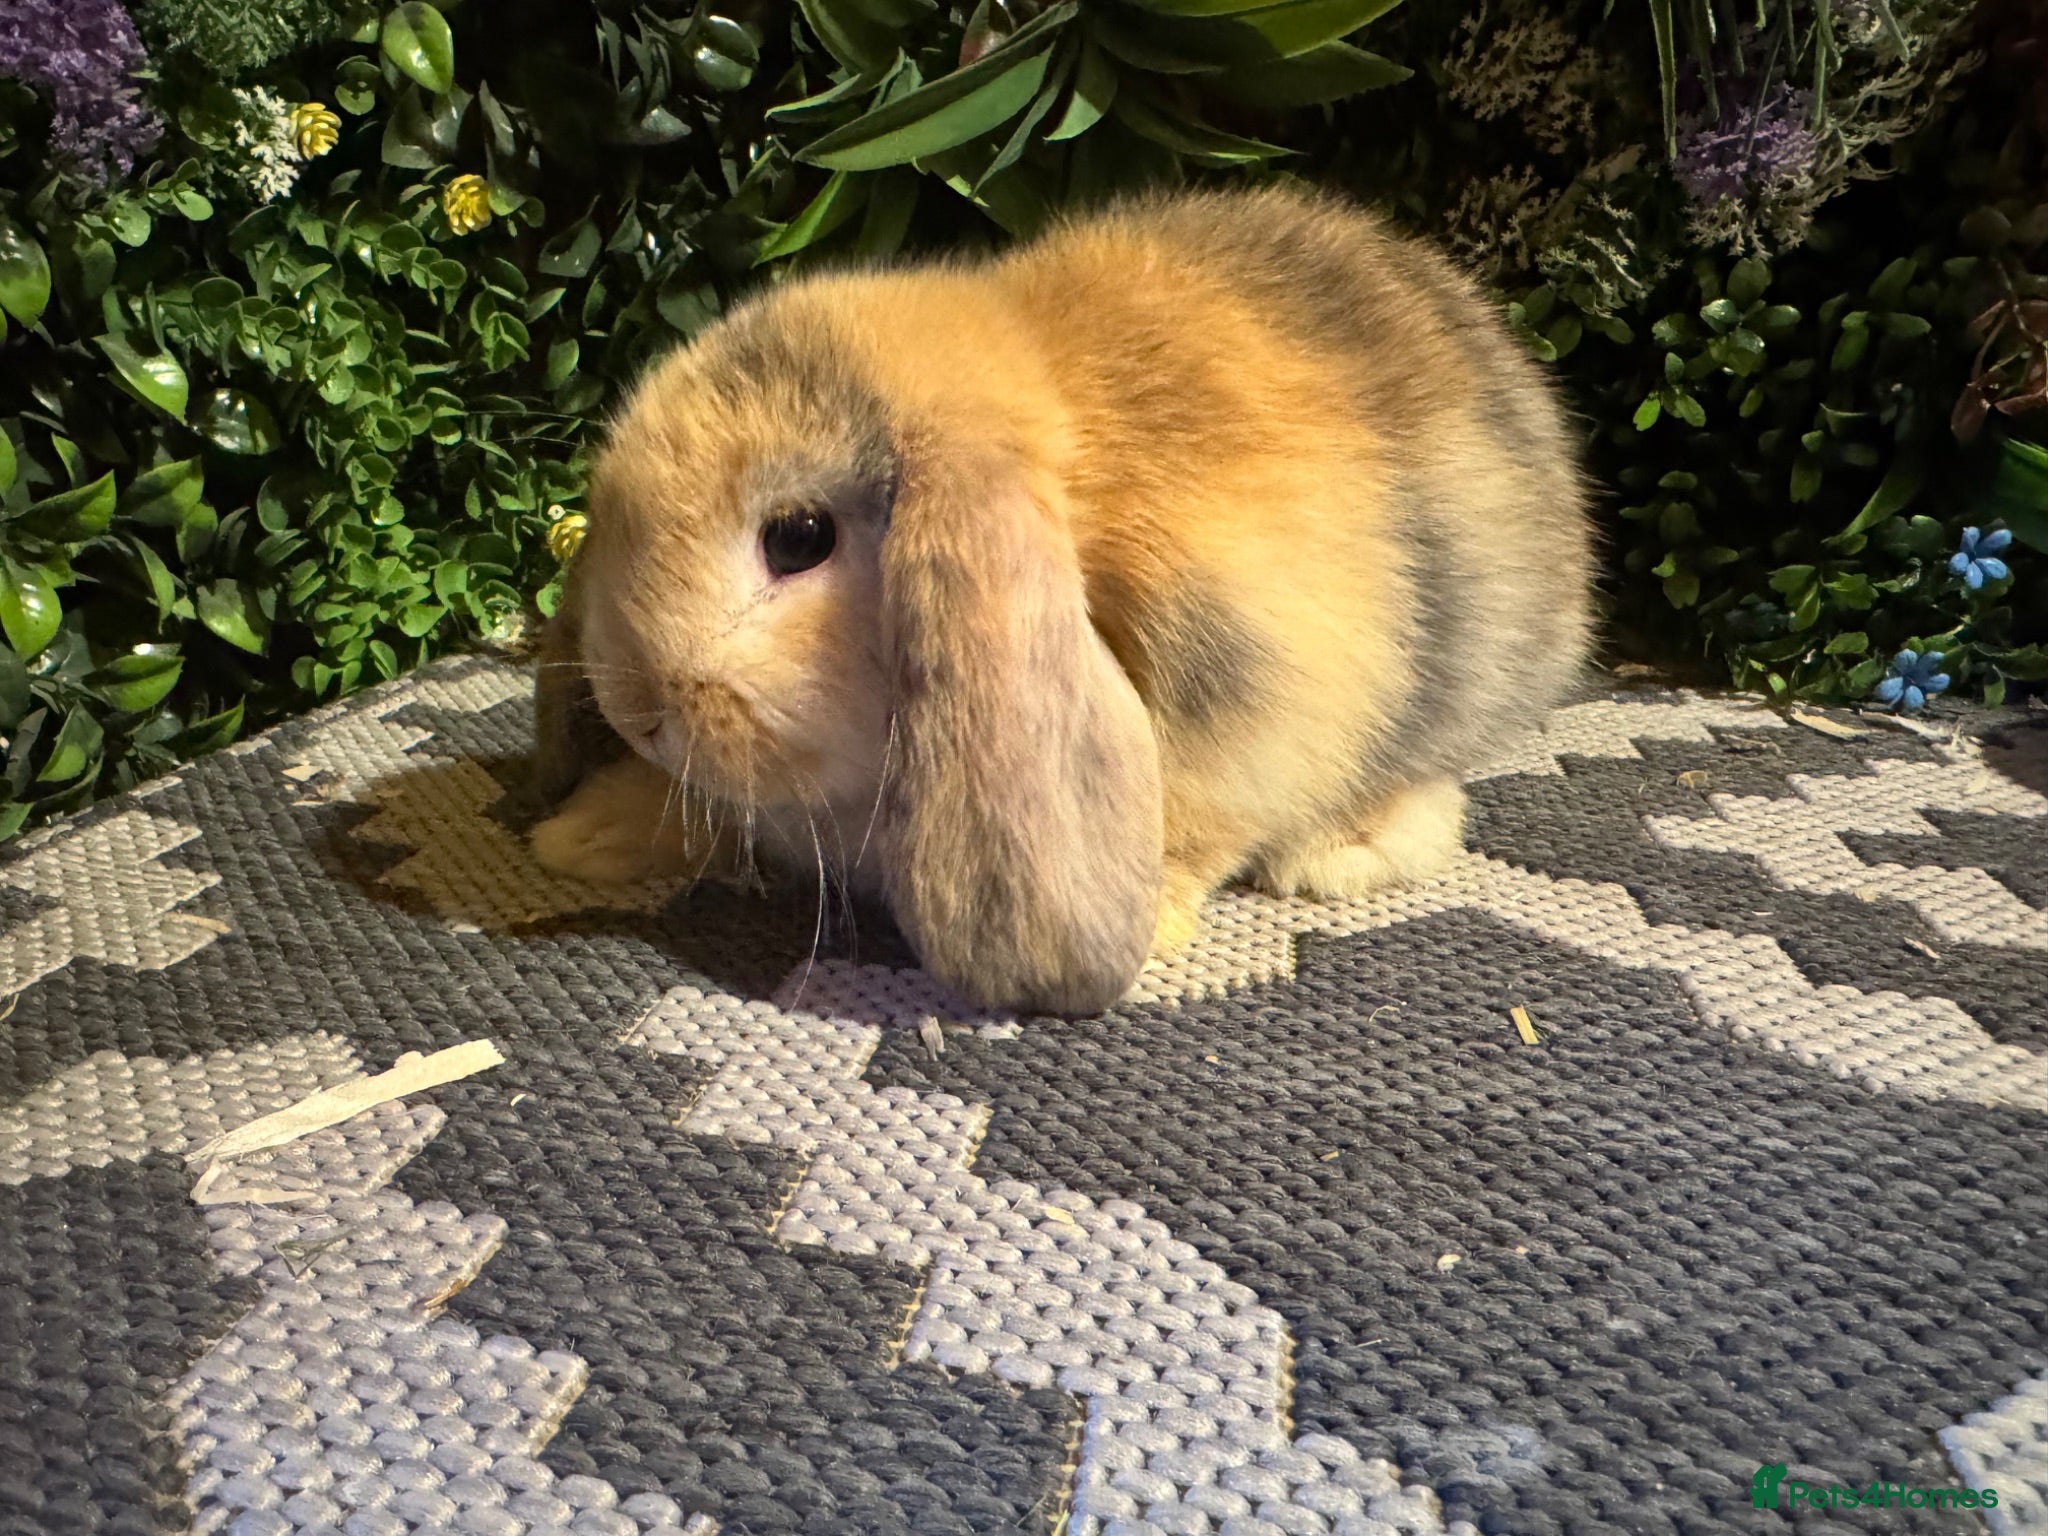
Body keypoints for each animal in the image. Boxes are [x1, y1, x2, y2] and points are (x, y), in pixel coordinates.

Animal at [528, 180, 1597, 1016]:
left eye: (798, 538)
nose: (639, 707)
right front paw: (579, 836)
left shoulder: (1255, 710)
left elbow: (1199, 822)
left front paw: (1150, 921)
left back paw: (1340, 851)